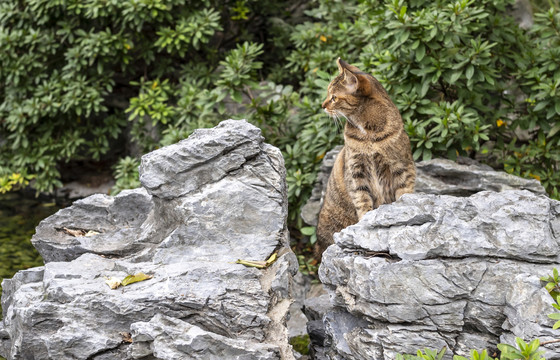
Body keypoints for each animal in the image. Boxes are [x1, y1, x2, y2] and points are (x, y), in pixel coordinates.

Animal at [316, 58, 416, 256]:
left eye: (334, 97)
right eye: (328, 95)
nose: (323, 105)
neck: (369, 133)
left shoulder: (402, 166)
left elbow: (404, 193)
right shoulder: (356, 170)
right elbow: (362, 199)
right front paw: (365, 221)